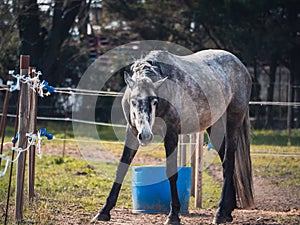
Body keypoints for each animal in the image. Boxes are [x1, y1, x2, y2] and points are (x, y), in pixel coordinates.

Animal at [95, 50, 254, 224]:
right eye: (133, 102)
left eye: (154, 101)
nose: (145, 136)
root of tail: (240, 66)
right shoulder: (132, 133)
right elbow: (121, 168)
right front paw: (104, 211)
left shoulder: (171, 135)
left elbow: (171, 172)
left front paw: (173, 215)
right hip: (214, 126)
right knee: (225, 161)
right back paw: (227, 212)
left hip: (233, 121)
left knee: (228, 162)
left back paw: (219, 213)